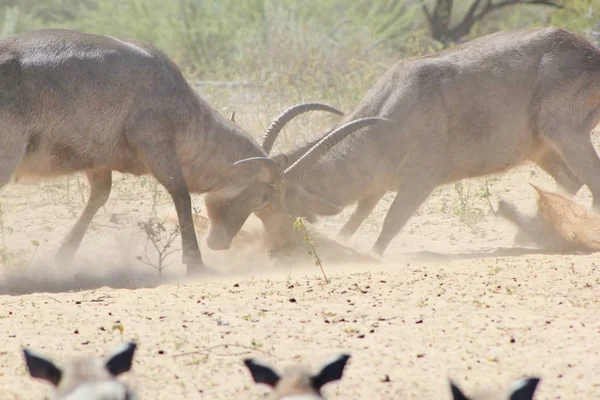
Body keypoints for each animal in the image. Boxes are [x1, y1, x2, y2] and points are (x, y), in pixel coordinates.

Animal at [0, 28, 384, 274]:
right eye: (265, 195)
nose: (221, 244)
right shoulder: (157, 144)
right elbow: (182, 195)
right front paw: (196, 263)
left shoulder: (100, 161)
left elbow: (99, 197)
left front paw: (63, 258)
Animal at [234, 28, 600, 260]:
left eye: (275, 207)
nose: (272, 249)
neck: (393, 107)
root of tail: (590, 53)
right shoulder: (377, 185)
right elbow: (357, 218)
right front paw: (343, 244)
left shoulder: (420, 179)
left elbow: (391, 221)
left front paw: (372, 256)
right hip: (542, 149)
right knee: (571, 180)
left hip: (565, 133)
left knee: (590, 180)